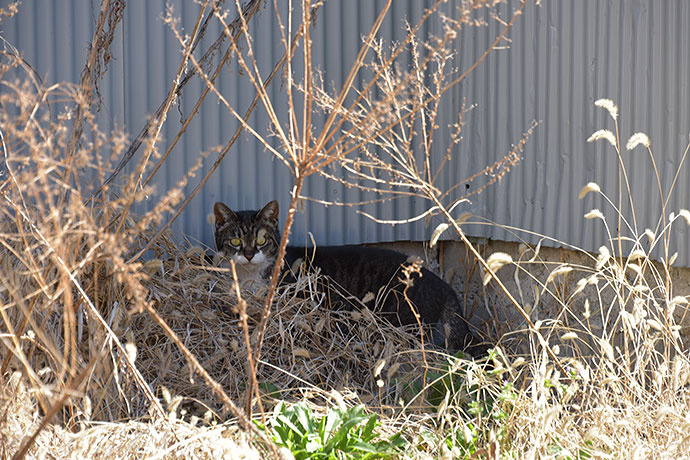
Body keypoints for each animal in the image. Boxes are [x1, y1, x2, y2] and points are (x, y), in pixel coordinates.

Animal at [212, 200, 476, 352]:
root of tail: (442, 284)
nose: (248, 255)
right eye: (235, 241)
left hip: (401, 322)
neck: (250, 278)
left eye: (261, 240)